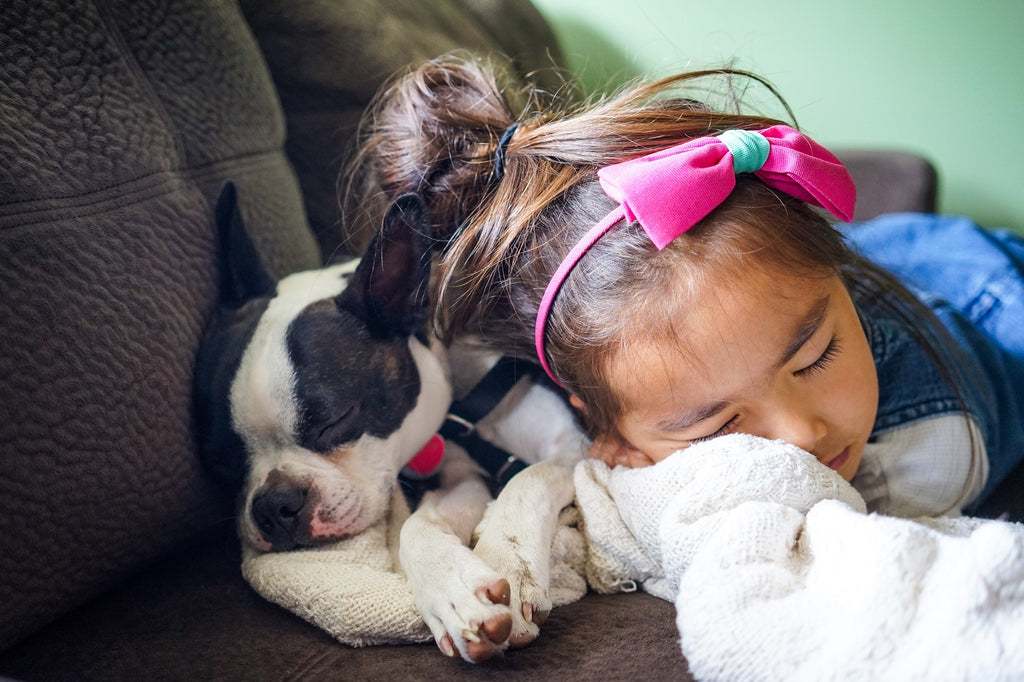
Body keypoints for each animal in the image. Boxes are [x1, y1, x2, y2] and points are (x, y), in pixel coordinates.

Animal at [194, 183, 589, 659]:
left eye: (334, 421)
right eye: (221, 463)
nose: (274, 504)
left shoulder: (574, 443)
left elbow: (528, 479)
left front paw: (507, 560)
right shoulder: (459, 474)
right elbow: (417, 526)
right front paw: (453, 593)